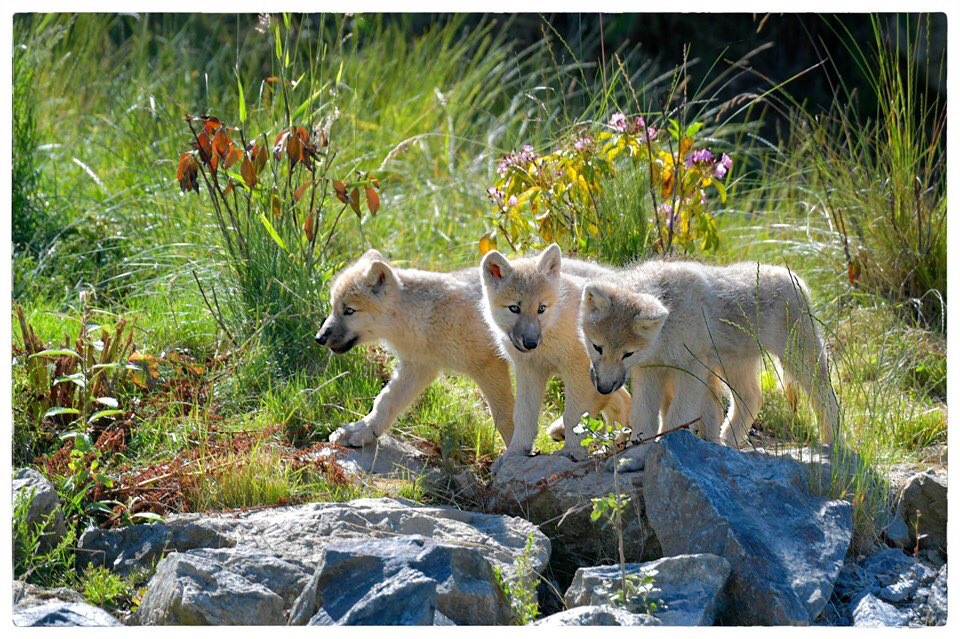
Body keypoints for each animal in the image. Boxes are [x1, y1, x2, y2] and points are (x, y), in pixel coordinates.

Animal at [316, 249, 610, 447]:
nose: (319, 337)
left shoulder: (489, 368)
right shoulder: (417, 368)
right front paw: (360, 432)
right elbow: (384, 403)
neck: (426, 317)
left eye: (348, 310)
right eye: (333, 307)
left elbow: (505, 418)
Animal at [480, 244, 632, 460]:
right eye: (514, 308)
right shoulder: (529, 372)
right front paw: (516, 452)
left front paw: (572, 451)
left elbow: (573, 417)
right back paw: (611, 446)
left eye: (541, 308)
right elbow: (523, 417)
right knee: (622, 401)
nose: (530, 343)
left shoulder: (577, 372)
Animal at [579, 260, 840, 449]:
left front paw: (665, 447)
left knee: (826, 398)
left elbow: (677, 417)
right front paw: (637, 453)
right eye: (597, 347)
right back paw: (728, 441)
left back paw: (832, 444)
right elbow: (643, 416)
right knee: (752, 398)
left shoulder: (691, 371)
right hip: (734, 367)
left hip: (798, 359)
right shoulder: (650, 372)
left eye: (627, 354)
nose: (603, 388)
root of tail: (795, 278)